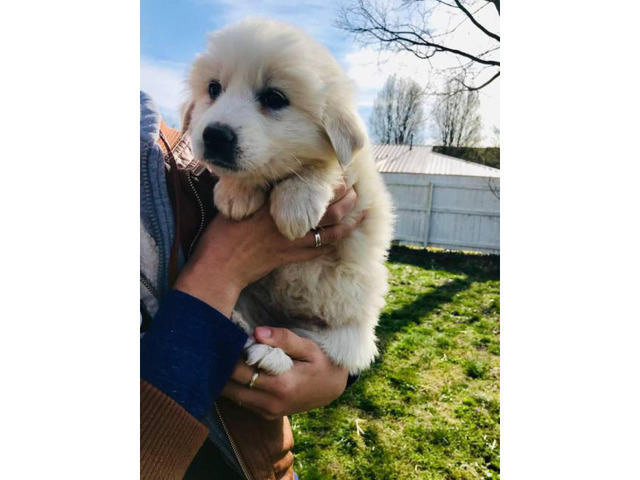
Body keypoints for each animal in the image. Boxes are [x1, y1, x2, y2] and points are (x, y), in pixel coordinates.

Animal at [184, 18, 396, 376]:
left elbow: (323, 164)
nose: (214, 136)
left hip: (345, 337)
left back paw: (271, 352)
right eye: (213, 89)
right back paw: (241, 324)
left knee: (304, 341)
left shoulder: (359, 193)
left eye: (274, 97)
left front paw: (296, 205)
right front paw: (235, 192)